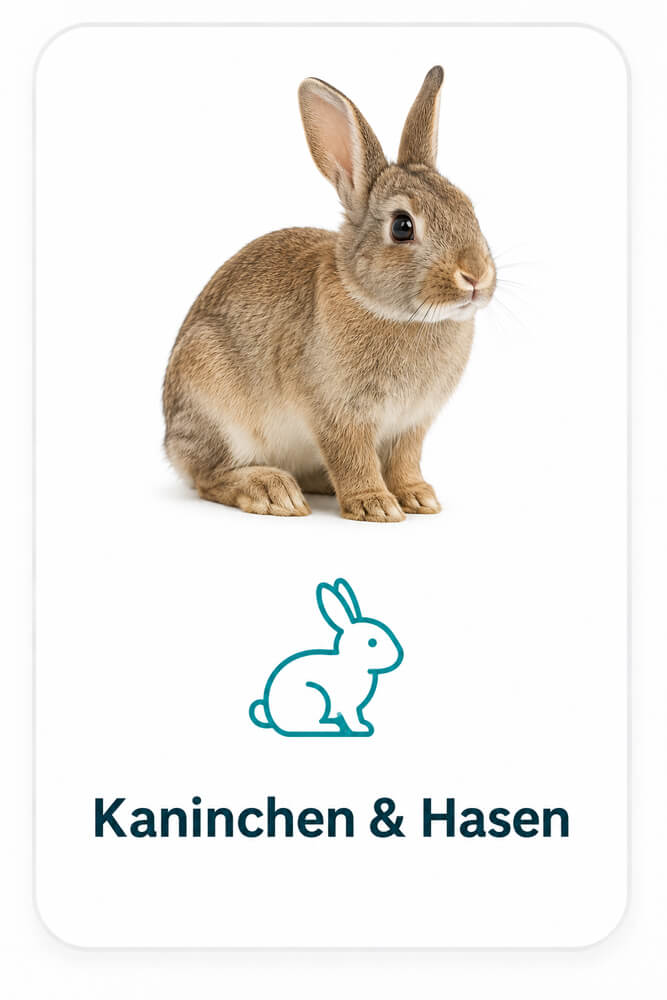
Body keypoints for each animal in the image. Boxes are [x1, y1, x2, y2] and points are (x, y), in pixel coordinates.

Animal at [163, 66, 495, 521]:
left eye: (468, 207)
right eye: (402, 226)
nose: (475, 276)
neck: (385, 307)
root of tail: (169, 439)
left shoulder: (412, 423)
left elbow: (405, 459)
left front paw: (417, 497)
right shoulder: (337, 413)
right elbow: (352, 457)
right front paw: (375, 505)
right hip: (216, 405)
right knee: (208, 476)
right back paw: (272, 491)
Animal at [249, 578, 403, 736]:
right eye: (372, 642)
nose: (397, 656)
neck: (352, 663)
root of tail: (271, 716)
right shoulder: (348, 705)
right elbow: (351, 716)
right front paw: (360, 728)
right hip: (316, 696)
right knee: (305, 726)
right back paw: (331, 727)